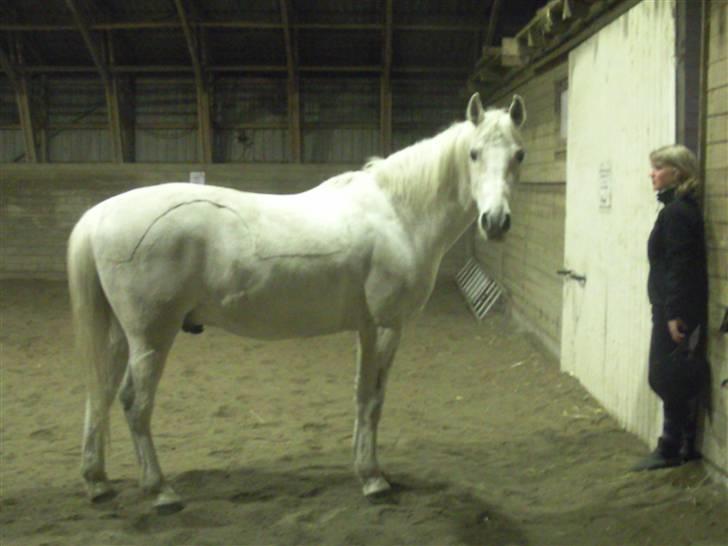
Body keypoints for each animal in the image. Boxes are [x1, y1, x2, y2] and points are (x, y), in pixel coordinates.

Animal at [67, 92, 526, 514]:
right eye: (473, 153)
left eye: (518, 155)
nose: (495, 222)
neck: (397, 213)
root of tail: (98, 216)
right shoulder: (386, 326)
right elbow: (375, 400)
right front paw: (374, 479)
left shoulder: (366, 328)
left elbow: (361, 395)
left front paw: (364, 471)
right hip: (151, 337)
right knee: (134, 402)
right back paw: (160, 490)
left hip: (120, 336)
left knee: (100, 392)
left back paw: (97, 481)